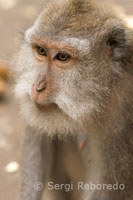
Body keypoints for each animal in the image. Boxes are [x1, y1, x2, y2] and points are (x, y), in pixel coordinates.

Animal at [14, 0, 132, 200]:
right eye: (41, 51)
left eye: (63, 57)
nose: (38, 87)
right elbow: (39, 145)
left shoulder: (122, 119)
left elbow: (109, 187)